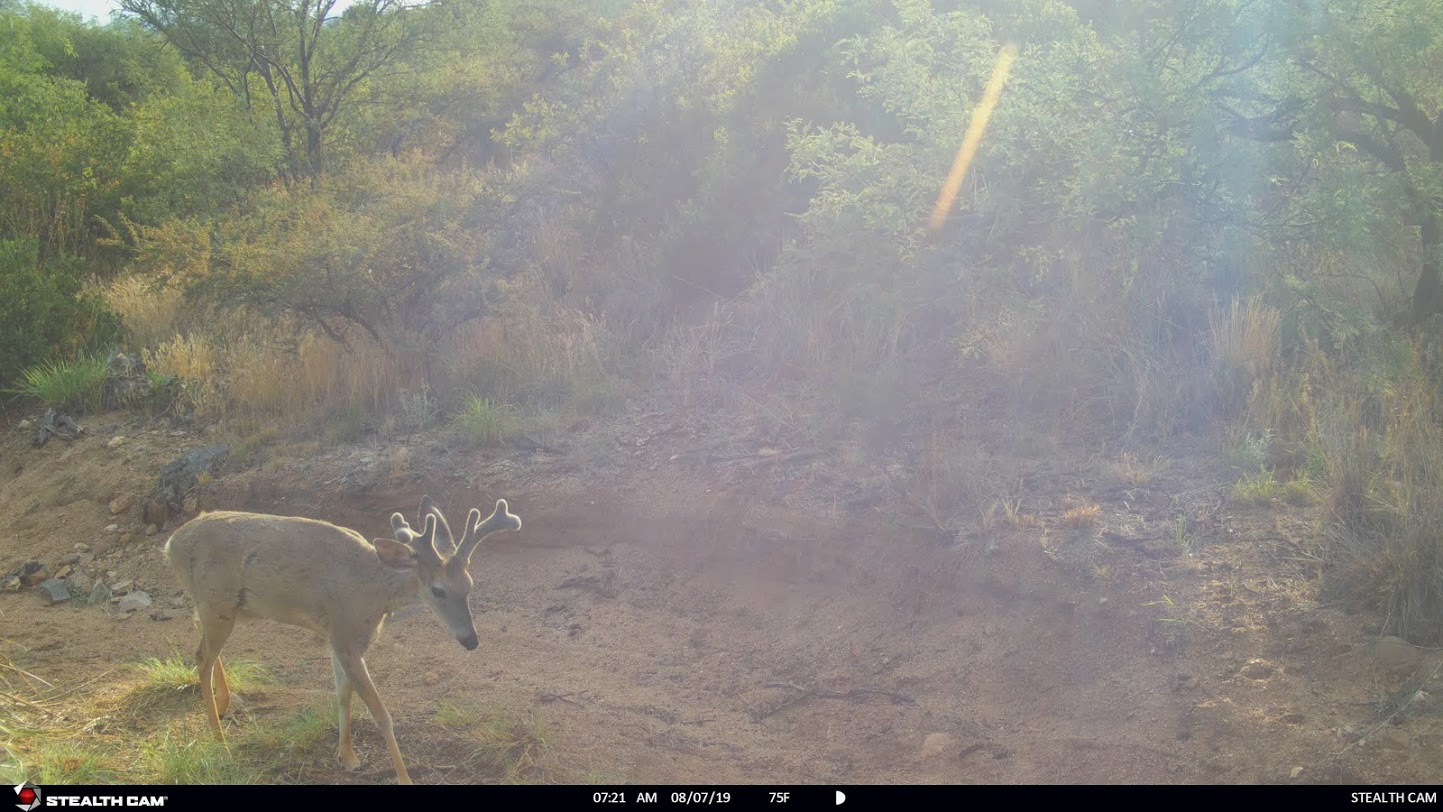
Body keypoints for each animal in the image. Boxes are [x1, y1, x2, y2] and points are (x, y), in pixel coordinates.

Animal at [164, 493, 525, 784]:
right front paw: (404, 777)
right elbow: (381, 714)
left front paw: (348, 757)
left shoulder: (341, 639)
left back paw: (226, 703)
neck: (374, 591)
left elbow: (342, 695)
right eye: (437, 590)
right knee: (201, 658)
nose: (471, 640)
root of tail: (170, 545)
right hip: (216, 600)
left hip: (222, 607)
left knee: (200, 638)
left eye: (469, 585)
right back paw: (220, 742)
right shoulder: (344, 636)